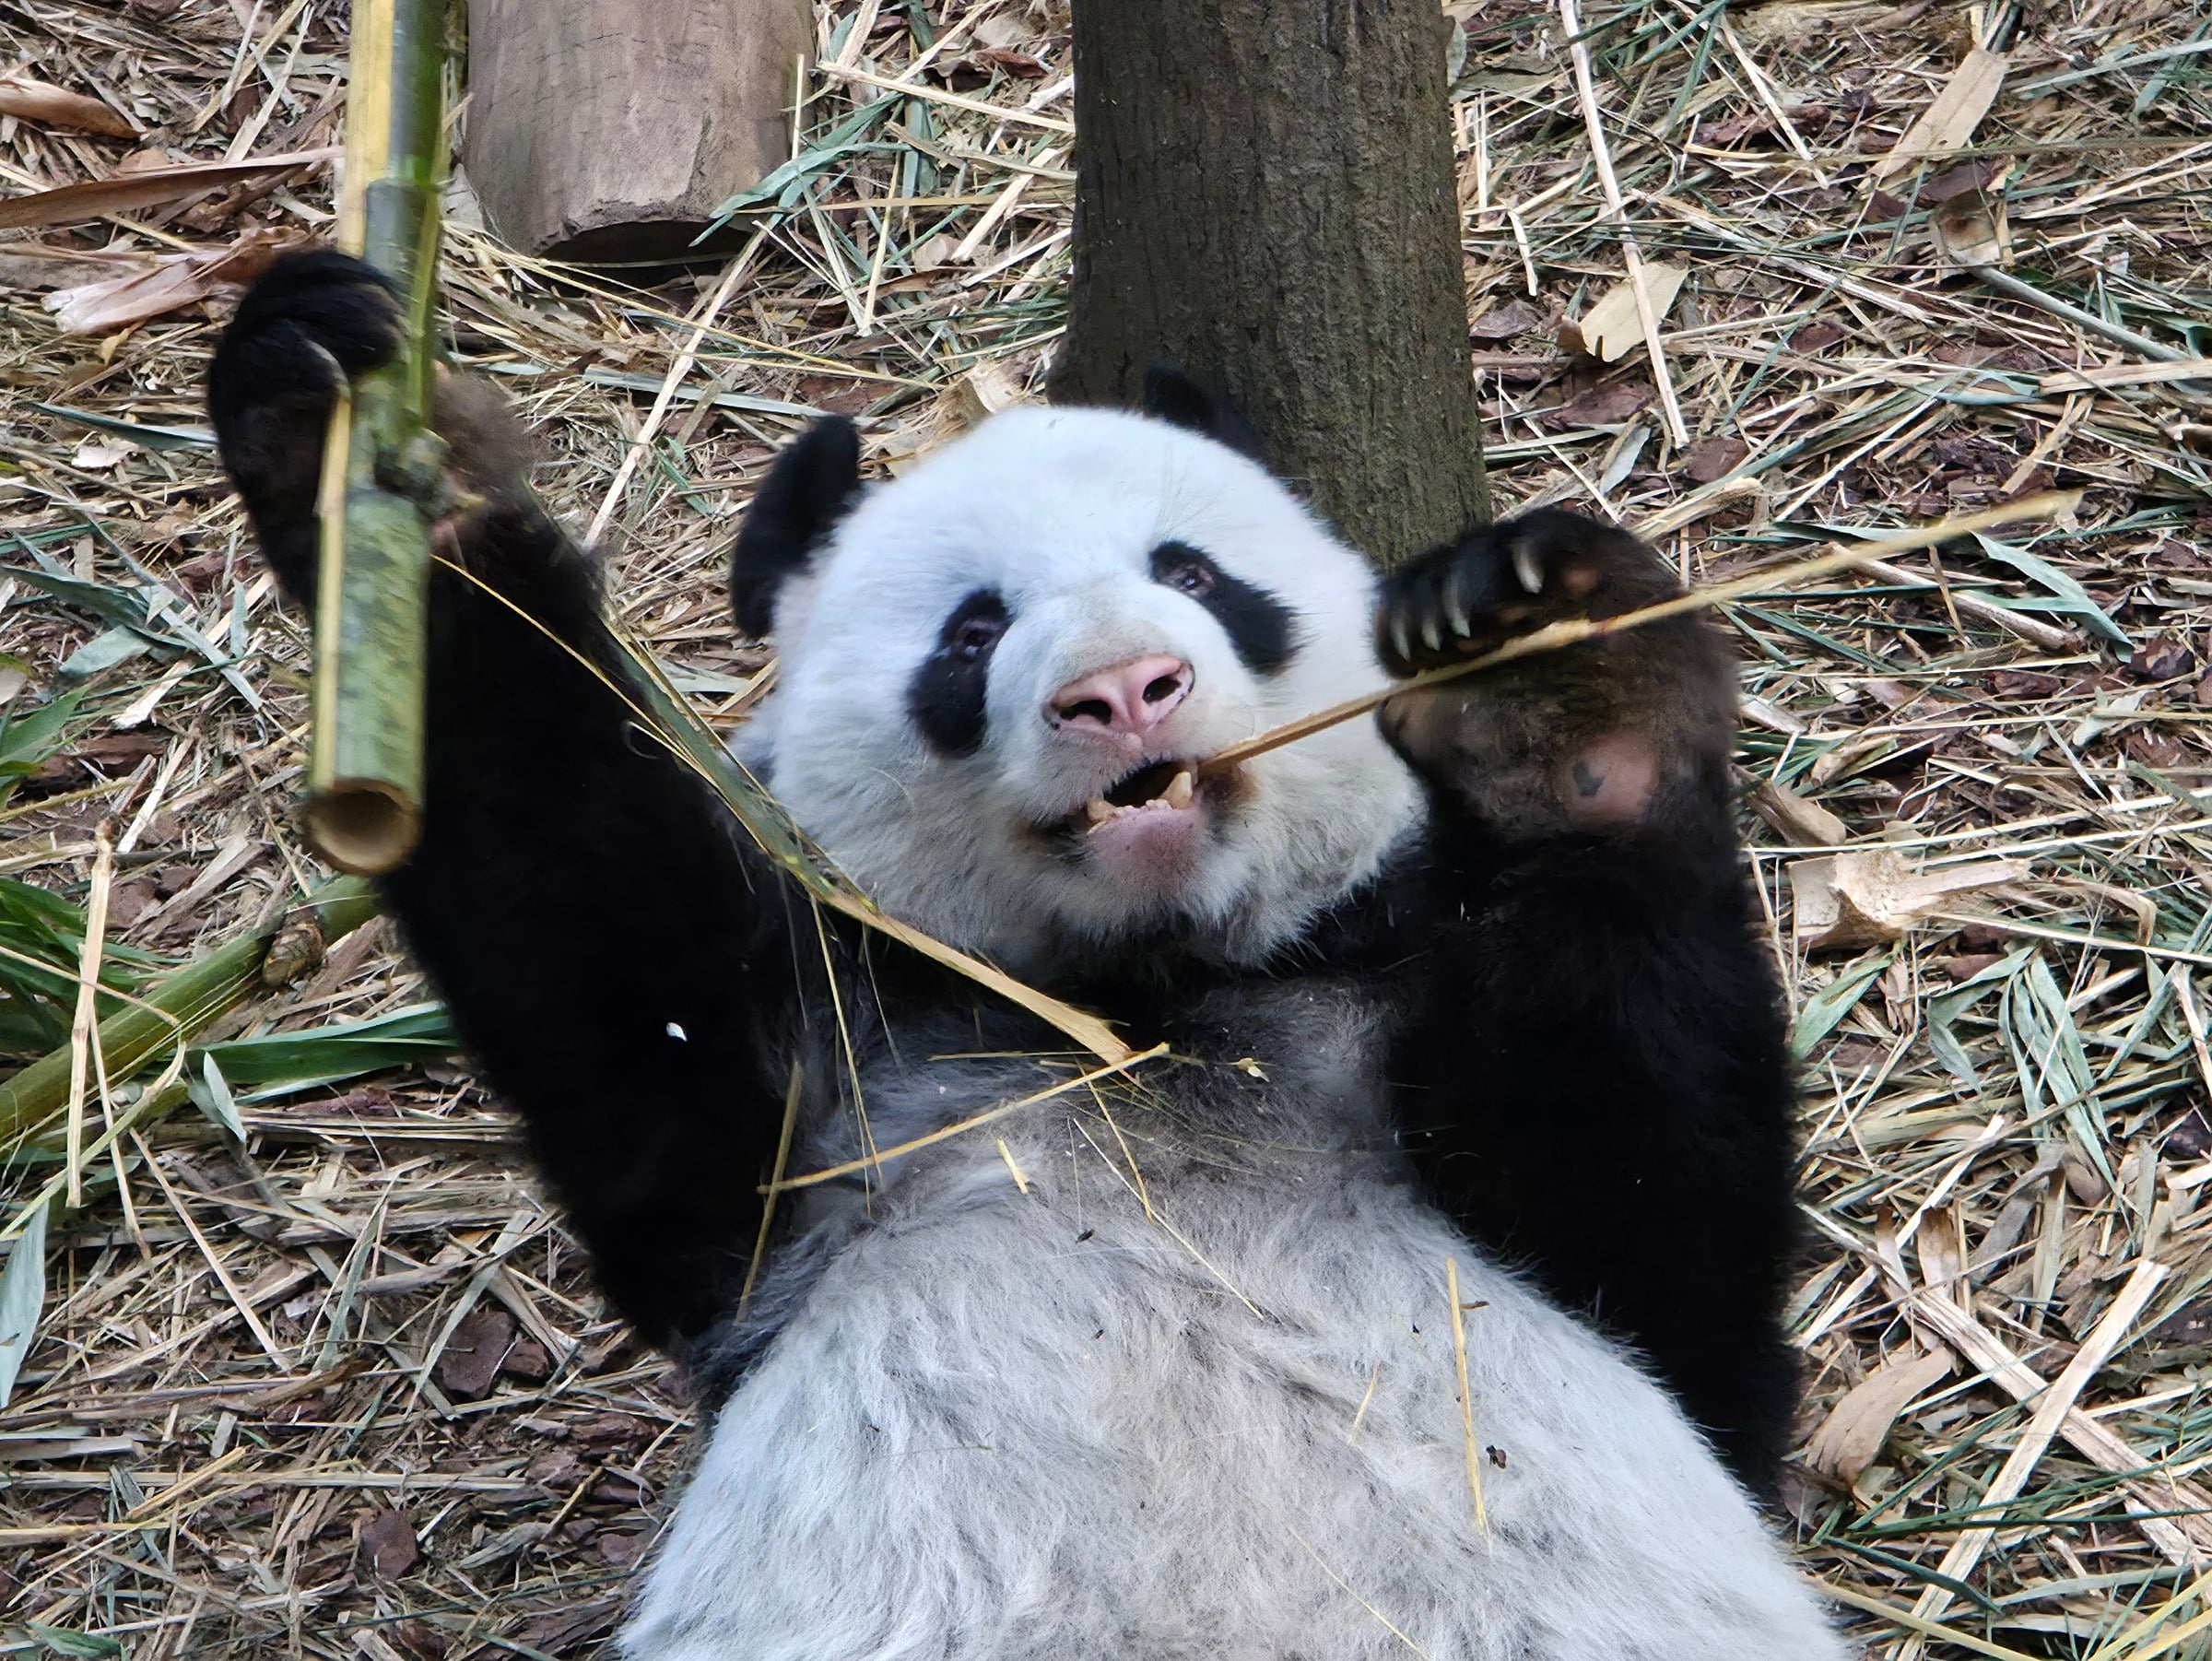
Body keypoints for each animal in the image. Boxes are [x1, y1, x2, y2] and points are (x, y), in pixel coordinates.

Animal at [210, 251, 1843, 1661]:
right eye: (970, 633)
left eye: (1197, 570)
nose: (1126, 689)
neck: (1145, 1011)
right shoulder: (839, 1084)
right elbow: (602, 957)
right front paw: (357, 433)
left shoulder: (1399, 1022)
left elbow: (1673, 1263)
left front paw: (1561, 687)